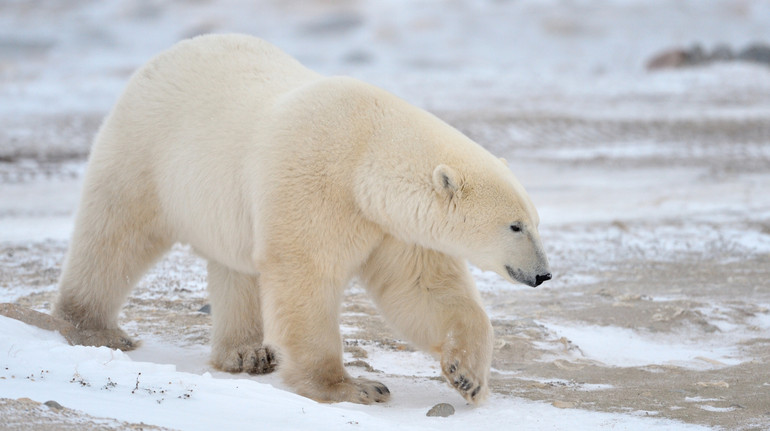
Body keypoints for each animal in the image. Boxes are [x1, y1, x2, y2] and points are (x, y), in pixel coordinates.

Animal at [54, 33, 548, 404]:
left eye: (534, 220)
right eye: (515, 225)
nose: (543, 274)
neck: (365, 156)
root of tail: (164, 55)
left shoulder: (392, 227)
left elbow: (423, 289)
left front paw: (467, 376)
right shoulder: (314, 182)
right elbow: (305, 278)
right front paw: (354, 387)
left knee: (235, 267)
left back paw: (246, 354)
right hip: (144, 150)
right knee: (114, 234)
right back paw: (93, 326)